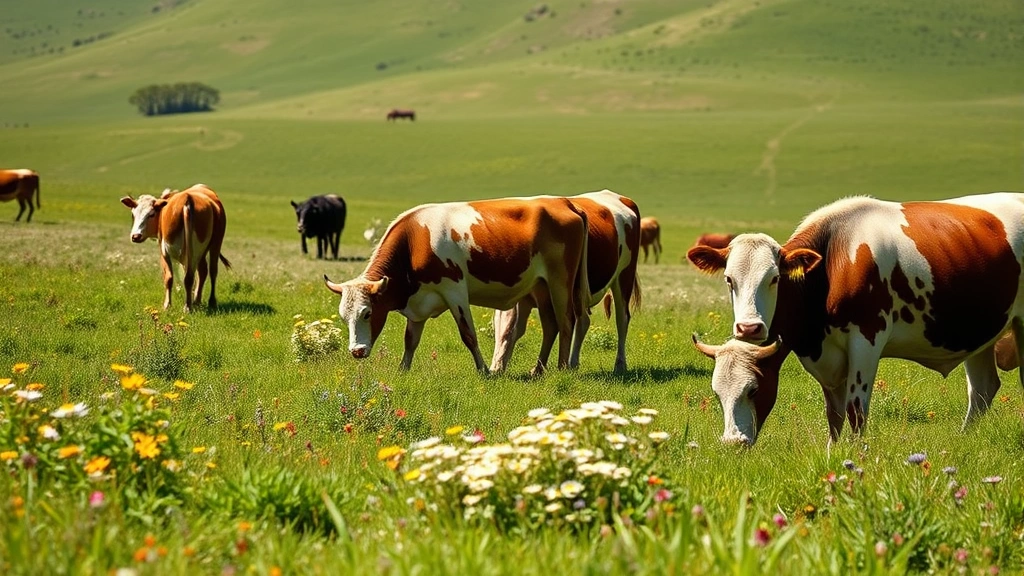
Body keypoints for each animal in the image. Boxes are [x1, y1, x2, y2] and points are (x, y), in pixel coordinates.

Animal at [121, 184, 231, 312]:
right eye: (133, 214)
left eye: (151, 214)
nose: (136, 236)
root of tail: (187, 198)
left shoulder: (164, 252)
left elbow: (168, 278)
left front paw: (167, 305)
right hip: (203, 249)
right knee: (201, 273)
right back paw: (195, 302)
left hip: (209, 246)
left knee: (210, 272)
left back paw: (204, 303)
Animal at [323, 197, 591, 375]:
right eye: (343, 317)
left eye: (367, 313)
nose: (357, 351)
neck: (415, 241)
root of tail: (564, 202)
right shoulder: (419, 303)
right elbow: (410, 339)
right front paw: (403, 369)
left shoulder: (455, 291)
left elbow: (468, 335)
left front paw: (484, 371)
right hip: (540, 286)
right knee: (551, 325)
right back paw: (538, 370)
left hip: (560, 281)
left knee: (566, 322)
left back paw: (562, 367)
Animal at [490, 190, 641, 374]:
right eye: (495, 330)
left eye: (507, 331)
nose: (494, 369)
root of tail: (620, 197)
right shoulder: (531, 299)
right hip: (578, 291)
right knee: (583, 320)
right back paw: (573, 362)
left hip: (623, 276)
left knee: (622, 318)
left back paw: (619, 364)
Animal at [687, 193, 1024, 446]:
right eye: (729, 279)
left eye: (775, 278)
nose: (749, 327)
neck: (833, 262)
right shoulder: (826, 356)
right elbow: (834, 414)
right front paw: (833, 454)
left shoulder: (866, 341)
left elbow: (855, 411)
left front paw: (859, 459)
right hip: (980, 331)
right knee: (982, 389)